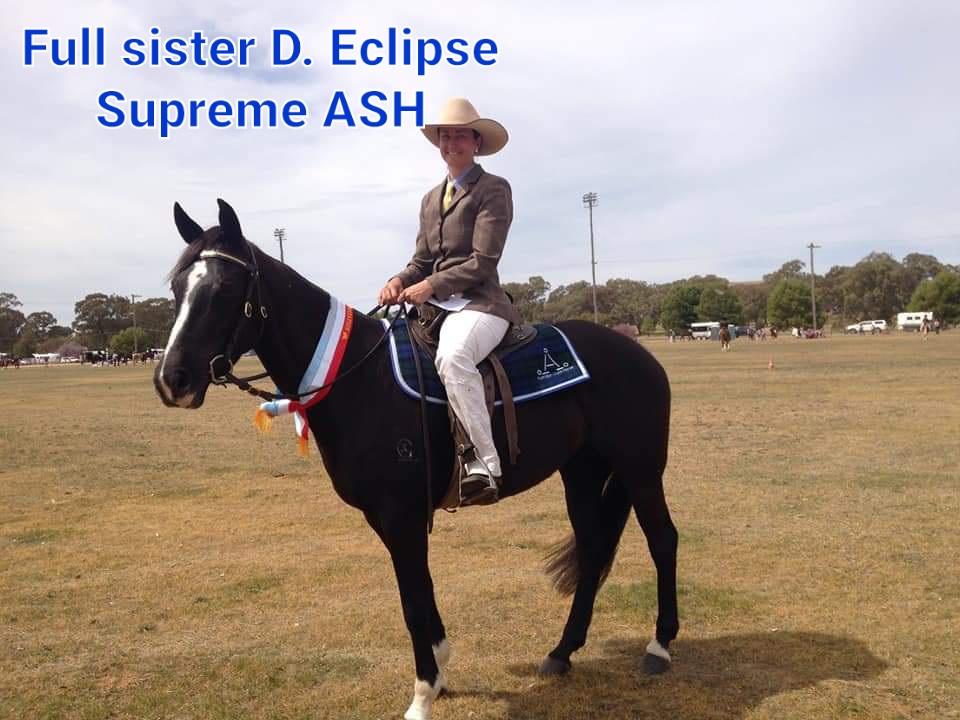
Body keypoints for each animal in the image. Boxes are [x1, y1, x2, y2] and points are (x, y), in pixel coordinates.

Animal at [154, 200, 678, 720]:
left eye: (224, 287)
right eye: (178, 288)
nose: (171, 379)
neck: (358, 379)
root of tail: (637, 351)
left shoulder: (400, 516)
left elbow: (411, 601)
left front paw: (423, 693)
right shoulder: (391, 519)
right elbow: (422, 593)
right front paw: (441, 670)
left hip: (640, 469)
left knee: (662, 540)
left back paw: (659, 646)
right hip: (582, 471)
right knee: (592, 548)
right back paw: (562, 652)